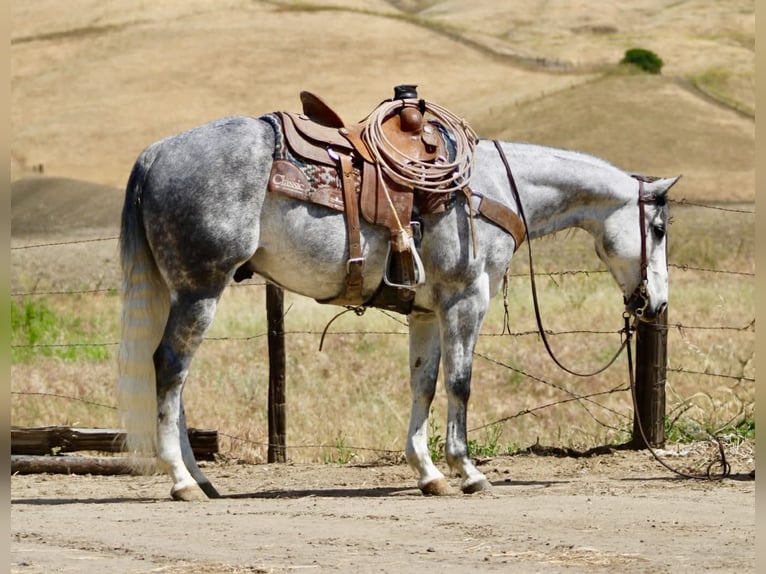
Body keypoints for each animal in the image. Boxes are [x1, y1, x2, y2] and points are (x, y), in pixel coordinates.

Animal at [117, 111, 679, 501]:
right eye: (658, 228)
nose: (655, 302)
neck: (490, 189)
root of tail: (156, 153)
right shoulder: (466, 300)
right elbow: (459, 383)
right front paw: (468, 471)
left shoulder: (427, 312)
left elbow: (423, 385)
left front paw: (429, 474)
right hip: (200, 289)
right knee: (169, 368)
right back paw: (182, 482)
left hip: (184, 292)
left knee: (175, 380)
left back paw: (202, 480)